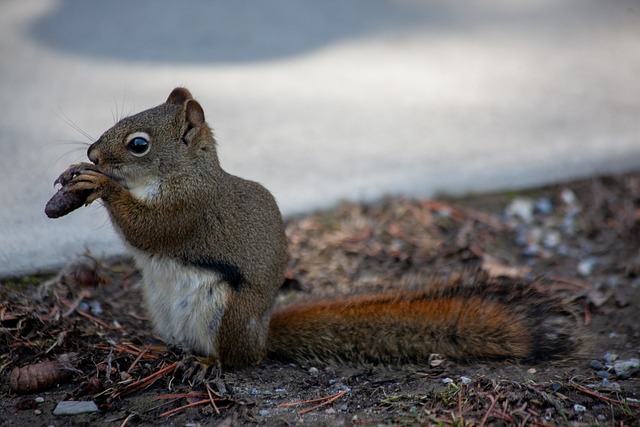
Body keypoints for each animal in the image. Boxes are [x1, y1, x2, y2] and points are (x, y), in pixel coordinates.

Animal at [50, 88, 580, 370]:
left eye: (138, 144)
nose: (93, 153)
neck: (183, 174)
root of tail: (261, 337)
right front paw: (79, 173)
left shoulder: (191, 211)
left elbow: (148, 230)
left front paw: (99, 183)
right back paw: (155, 348)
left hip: (226, 313)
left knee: (236, 360)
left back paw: (207, 363)